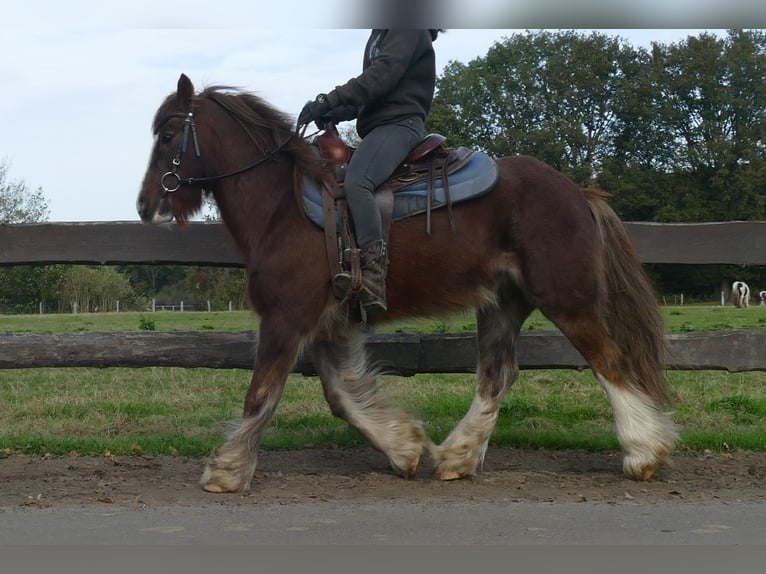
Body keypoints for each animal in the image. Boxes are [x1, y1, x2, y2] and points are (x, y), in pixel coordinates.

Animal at [136, 73, 680, 496]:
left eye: (168, 134)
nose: (145, 206)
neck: (281, 206)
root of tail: (577, 191)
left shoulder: (286, 318)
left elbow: (262, 393)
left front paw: (227, 471)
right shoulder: (329, 324)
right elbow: (341, 397)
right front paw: (403, 448)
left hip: (567, 300)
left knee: (609, 363)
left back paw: (643, 453)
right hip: (503, 304)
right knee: (496, 376)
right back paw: (457, 457)